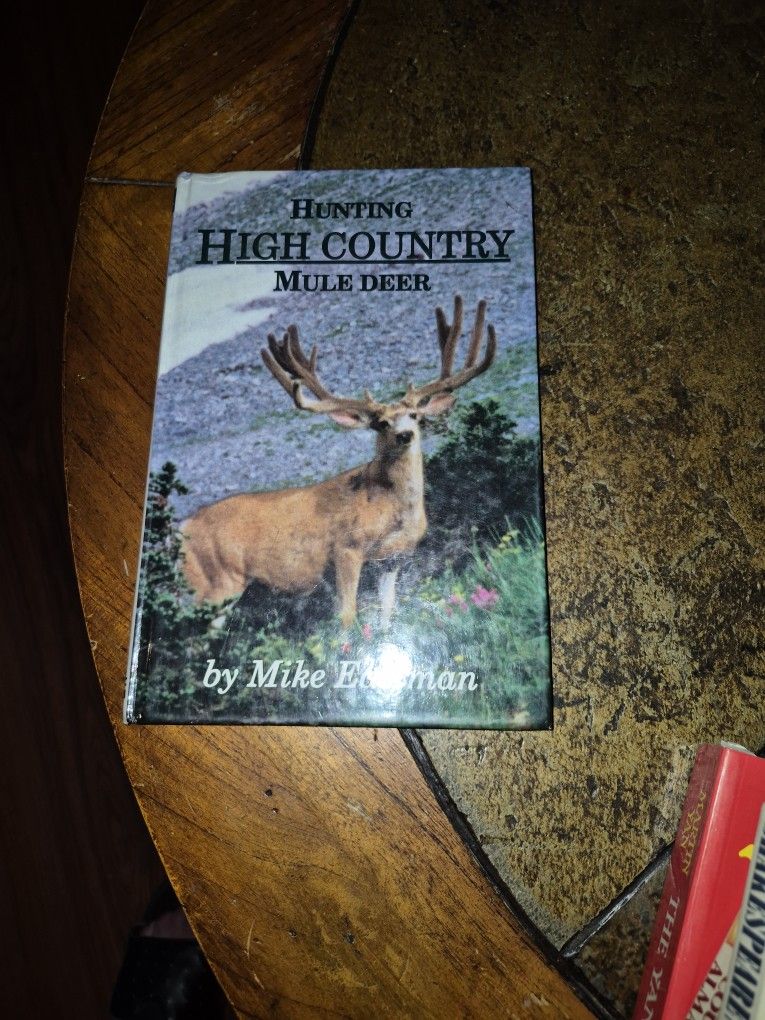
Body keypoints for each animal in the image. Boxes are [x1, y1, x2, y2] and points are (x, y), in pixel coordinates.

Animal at [179, 295, 496, 629]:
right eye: (381, 423)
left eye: (415, 415)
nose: (405, 435)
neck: (393, 508)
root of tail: (184, 526)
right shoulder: (346, 549)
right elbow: (346, 615)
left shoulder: (392, 559)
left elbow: (388, 612)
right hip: (216, 583)